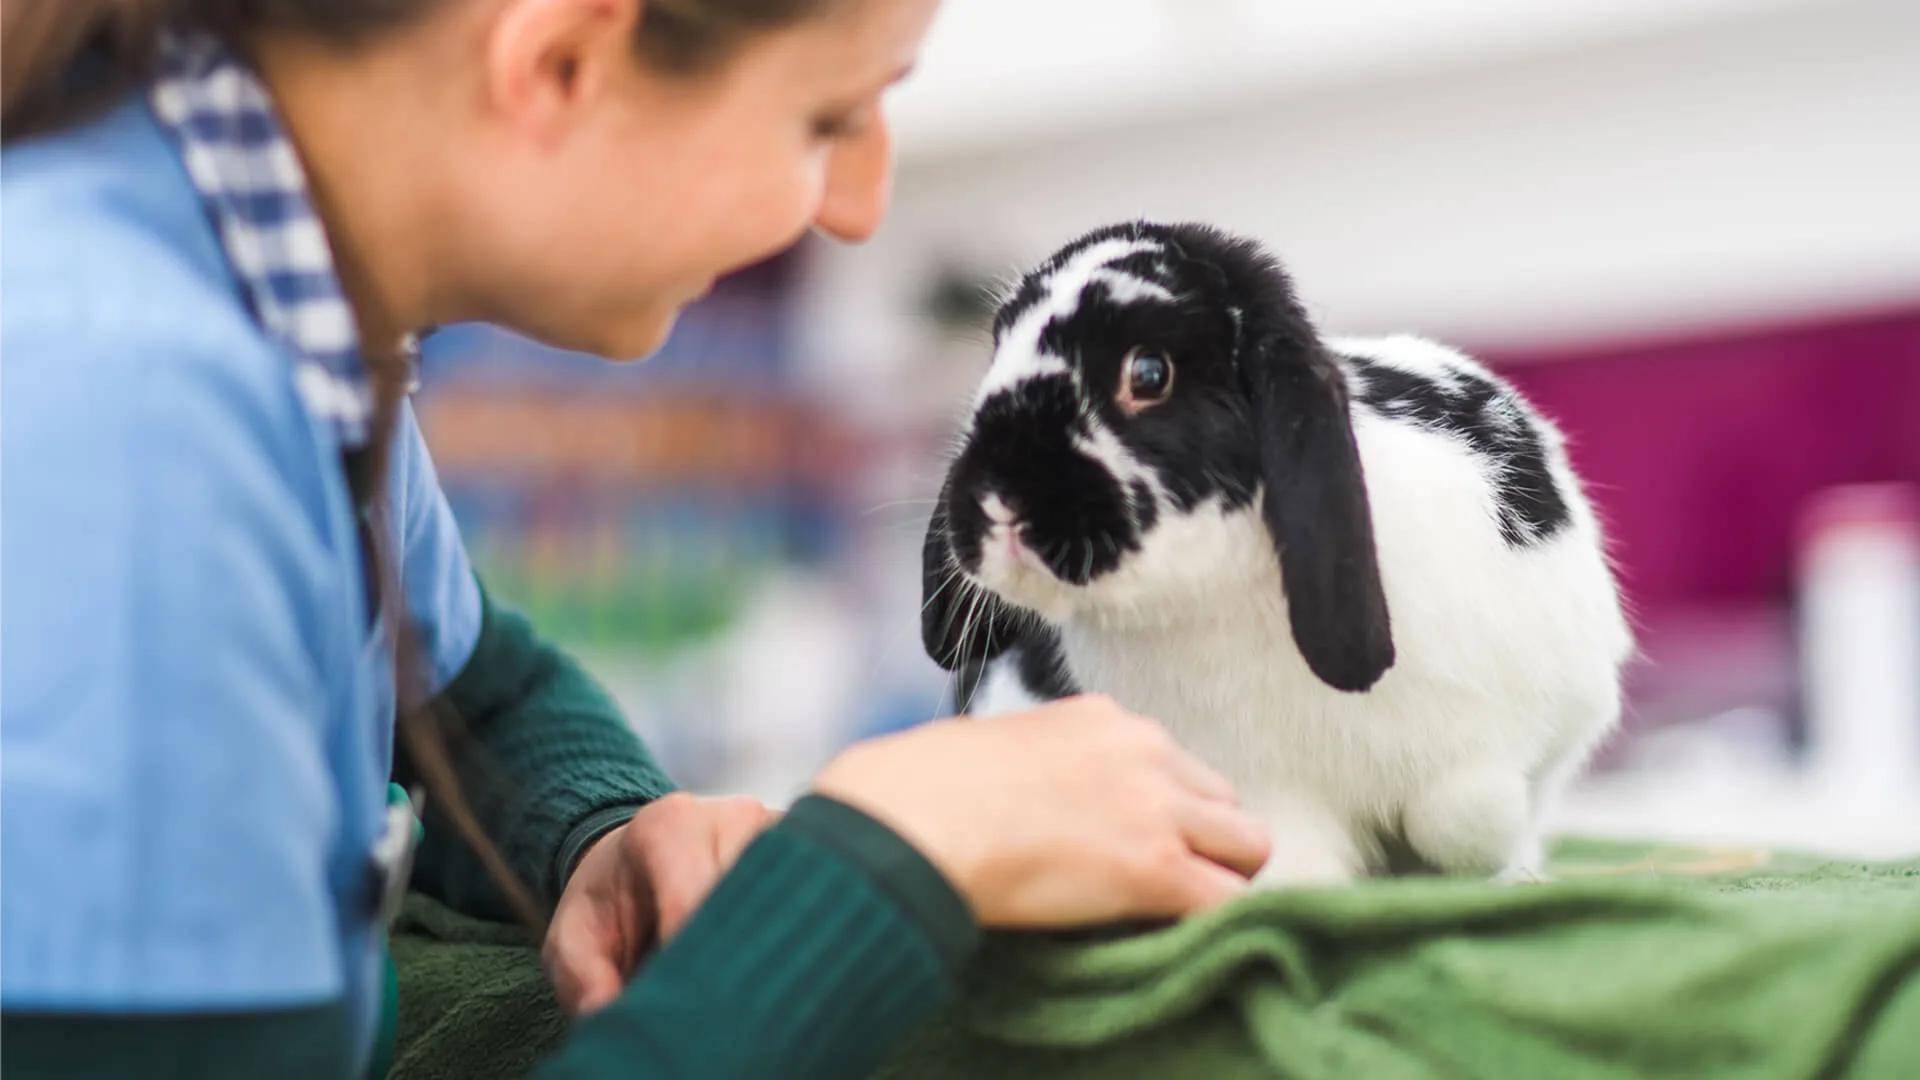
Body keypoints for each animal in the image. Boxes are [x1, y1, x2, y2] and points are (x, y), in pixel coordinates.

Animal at [920, 220, 1634, 887]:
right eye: (996, 353)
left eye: (1149, 373)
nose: (997, 503)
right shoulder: (1257, 782)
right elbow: (1294, 849)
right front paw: (1295, 886)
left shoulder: (1546, 720)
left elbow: (1474, 812)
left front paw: (1491, 851)